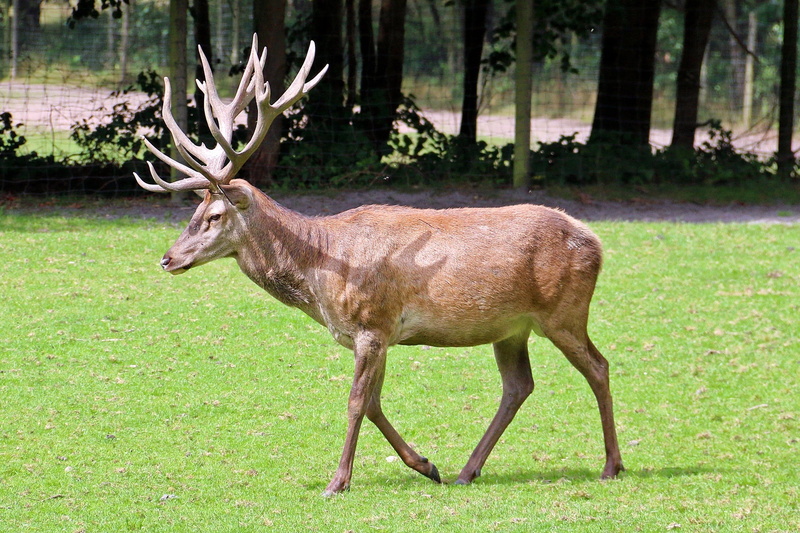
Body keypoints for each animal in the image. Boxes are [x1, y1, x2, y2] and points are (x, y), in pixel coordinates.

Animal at [134, 34, 624, 497]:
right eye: (194, 211)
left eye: (214, 216)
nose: (168, 258)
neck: (320, 272)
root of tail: (596, 241)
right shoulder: (379, 335)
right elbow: (373, 404)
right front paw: (426, 465)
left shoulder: (372, 323)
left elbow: (355, 402)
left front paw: (337, 482)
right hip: (511, 328)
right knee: (518, 386)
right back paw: (467, 471)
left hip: (564, 312)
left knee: (598, 367)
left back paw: (611, 466)